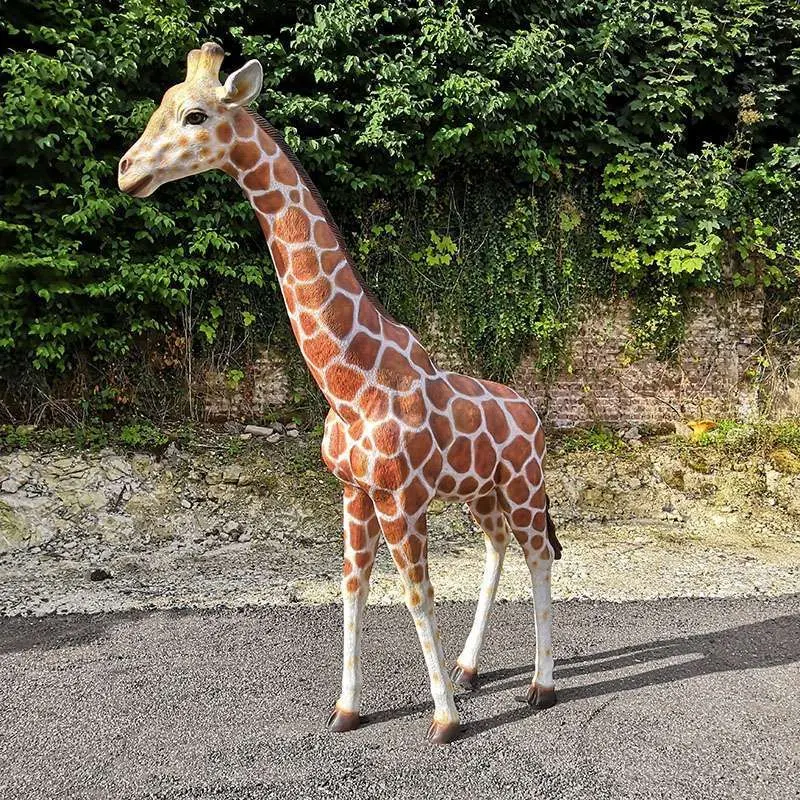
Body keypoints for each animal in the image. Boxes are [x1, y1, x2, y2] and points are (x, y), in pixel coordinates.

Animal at [118, 42, 562, 744]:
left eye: (195, 115)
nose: (127, 171)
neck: (348, 382)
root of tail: (533, 416)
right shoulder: (355, 492)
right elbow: (353, 588)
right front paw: (348, 710)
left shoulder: (400, 498)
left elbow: (416, 596)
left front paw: (443, 721)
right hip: (480, 493)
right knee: (498, 551)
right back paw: (469, 670)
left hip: (521, 485)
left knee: (539, 556)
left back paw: (542, 686)